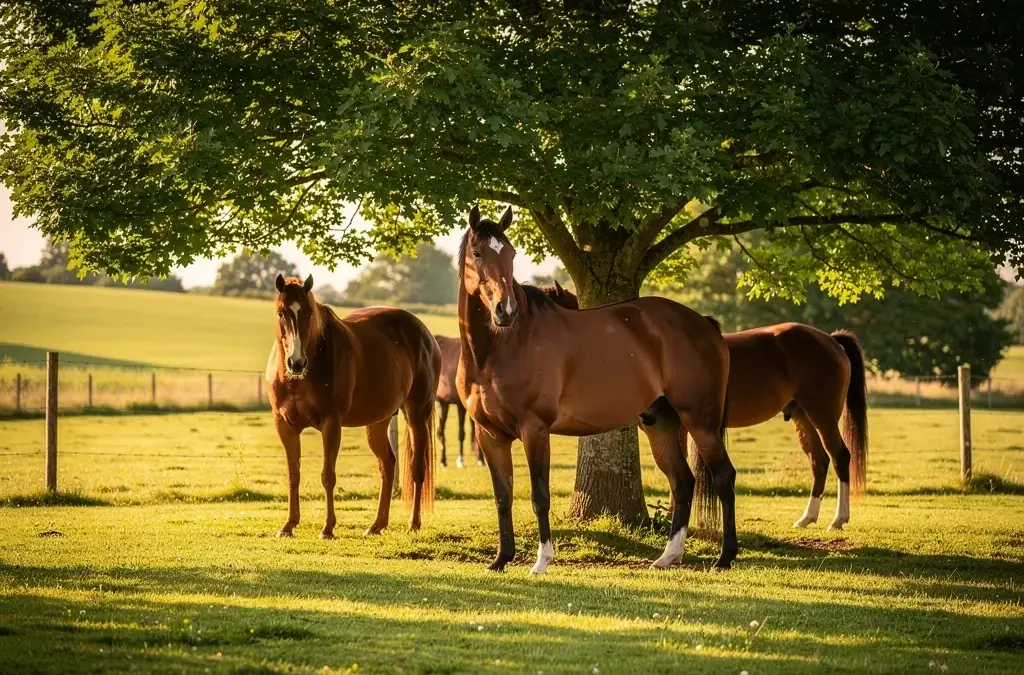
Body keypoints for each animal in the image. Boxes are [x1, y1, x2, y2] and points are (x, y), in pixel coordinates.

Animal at [267, 274, 441, 539]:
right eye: (281, 313)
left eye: (308, 312)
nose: (296, 363)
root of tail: (426, 336)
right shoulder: (284, 426)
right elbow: (293, 475)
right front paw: (288, 525)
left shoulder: (331, 424)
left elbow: (328, 476)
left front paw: (327, 528)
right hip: (378, 421)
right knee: (387, 465)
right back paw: (377, 525)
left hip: (417, 414)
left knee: (417, 468)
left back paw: (413, 524)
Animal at [456, 206, 736, 573]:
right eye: (477, 253)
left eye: (512, 254)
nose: (506, 310)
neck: (498, 347)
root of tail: (704, 325)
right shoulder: (488, 433)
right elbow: (503, 496)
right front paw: (501, 560)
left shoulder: (534, 429)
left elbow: (539, 496)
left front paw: (542, 561)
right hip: (661, 424)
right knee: (683, 482)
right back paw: (667, 557)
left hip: (701, 422)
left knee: (724, 477)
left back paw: (725, 558)